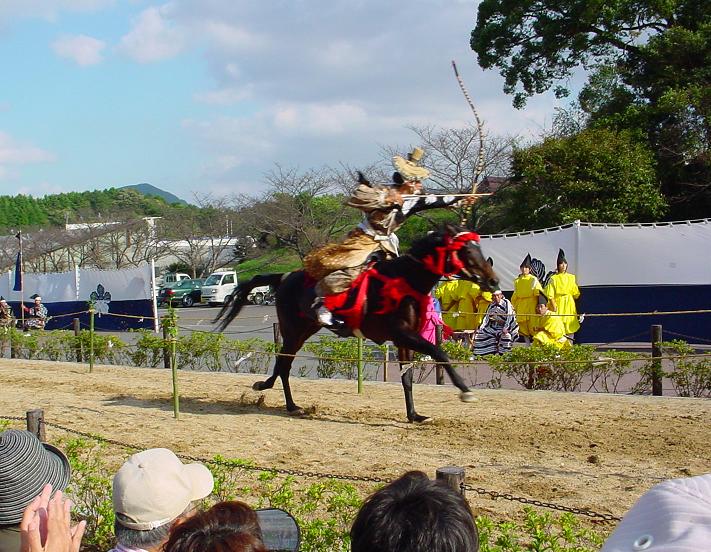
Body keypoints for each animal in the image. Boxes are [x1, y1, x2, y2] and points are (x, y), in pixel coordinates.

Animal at [217, 224, 500, 422]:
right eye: (466, 250)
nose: (493, 280)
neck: (405, 282)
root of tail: (285, 276)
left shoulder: (403, 340)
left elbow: (408, 378)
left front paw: (414, 415)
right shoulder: (403, 333)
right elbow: (439, 352)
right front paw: (464, 390)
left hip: (305, 329)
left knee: (283, 362)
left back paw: (276, 393)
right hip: (293, 329)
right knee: (284, 363)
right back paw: (287, 402)